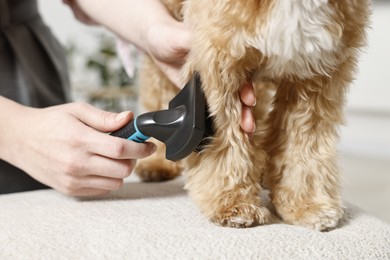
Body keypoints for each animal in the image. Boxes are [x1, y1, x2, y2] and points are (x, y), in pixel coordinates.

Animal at [136, 0, 370, 232]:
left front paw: (306, 203)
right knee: (157, 89)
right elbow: (227, 142)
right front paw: (233, 202)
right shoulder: (220, 60)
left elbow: (305, 145)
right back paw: (158, 162)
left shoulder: (316, 72)